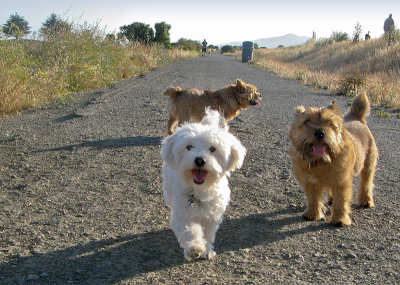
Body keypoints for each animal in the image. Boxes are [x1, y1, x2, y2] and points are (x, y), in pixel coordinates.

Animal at [161, 108, 245, 260]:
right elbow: (189, 230)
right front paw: (194, 248)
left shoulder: (212, 217)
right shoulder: (182, 213)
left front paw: (207, 249)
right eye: (189, 147)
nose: (200, 160)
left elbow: (208, 234)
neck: (199, 190)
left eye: (212, 149)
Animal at [288, 92, 378, 225]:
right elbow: (313, 198)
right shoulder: (309, 182)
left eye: (329, 122)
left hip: (368, 164)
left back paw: (366, 200)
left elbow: (341, 200)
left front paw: (339, 219)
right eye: (307, 121)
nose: (320, 133)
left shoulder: (341, 181)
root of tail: (356, 117)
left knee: (366, 182)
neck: (321, 160)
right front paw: (312, 214)